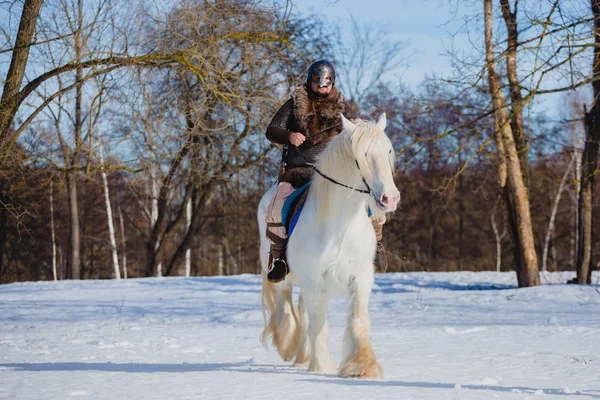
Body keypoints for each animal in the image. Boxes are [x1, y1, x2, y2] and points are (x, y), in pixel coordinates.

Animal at [256, 113, 398, 378]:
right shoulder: (315, 282)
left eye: (388, 151)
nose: (390, 198)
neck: (340, 227)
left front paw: (363, 366)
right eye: (363, 154)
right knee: (287, 307)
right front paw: (321, 366)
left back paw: (303, 355)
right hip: (284, 279)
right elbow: (318, 326)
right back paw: (290, 347)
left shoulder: (360, 279)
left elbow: (358, 321)